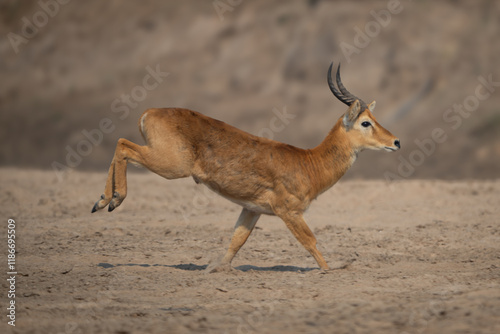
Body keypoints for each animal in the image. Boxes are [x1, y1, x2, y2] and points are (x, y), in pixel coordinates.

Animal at [92, 62, 400, 272]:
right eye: (365, 122)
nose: (396, 142)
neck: (309, 162)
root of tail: (149, 112)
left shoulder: (252, 210)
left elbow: (236, 241)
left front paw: (215, 269)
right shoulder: (289, 212)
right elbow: (310, 241)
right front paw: (331, 269)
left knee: (121, 145)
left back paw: (102, 201)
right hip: (171, 165)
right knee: (123, 145)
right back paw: (110, 200)